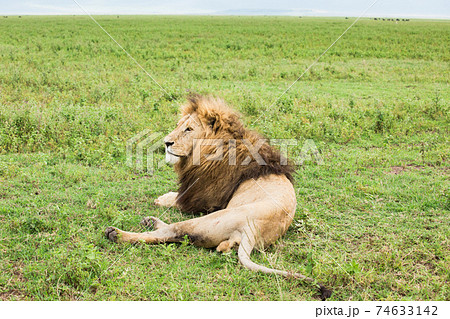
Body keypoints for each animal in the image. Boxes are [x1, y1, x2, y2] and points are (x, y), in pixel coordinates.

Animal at [104, 95, 330, 300]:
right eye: (178, 126)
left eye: (189, 129)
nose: (166, 143)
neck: (214, 149)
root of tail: (253, 230)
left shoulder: (203, 199)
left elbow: (176, 199)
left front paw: (162, 198)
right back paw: (149, 221)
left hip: (208, 220)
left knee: (167, 233)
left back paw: (118, 233)